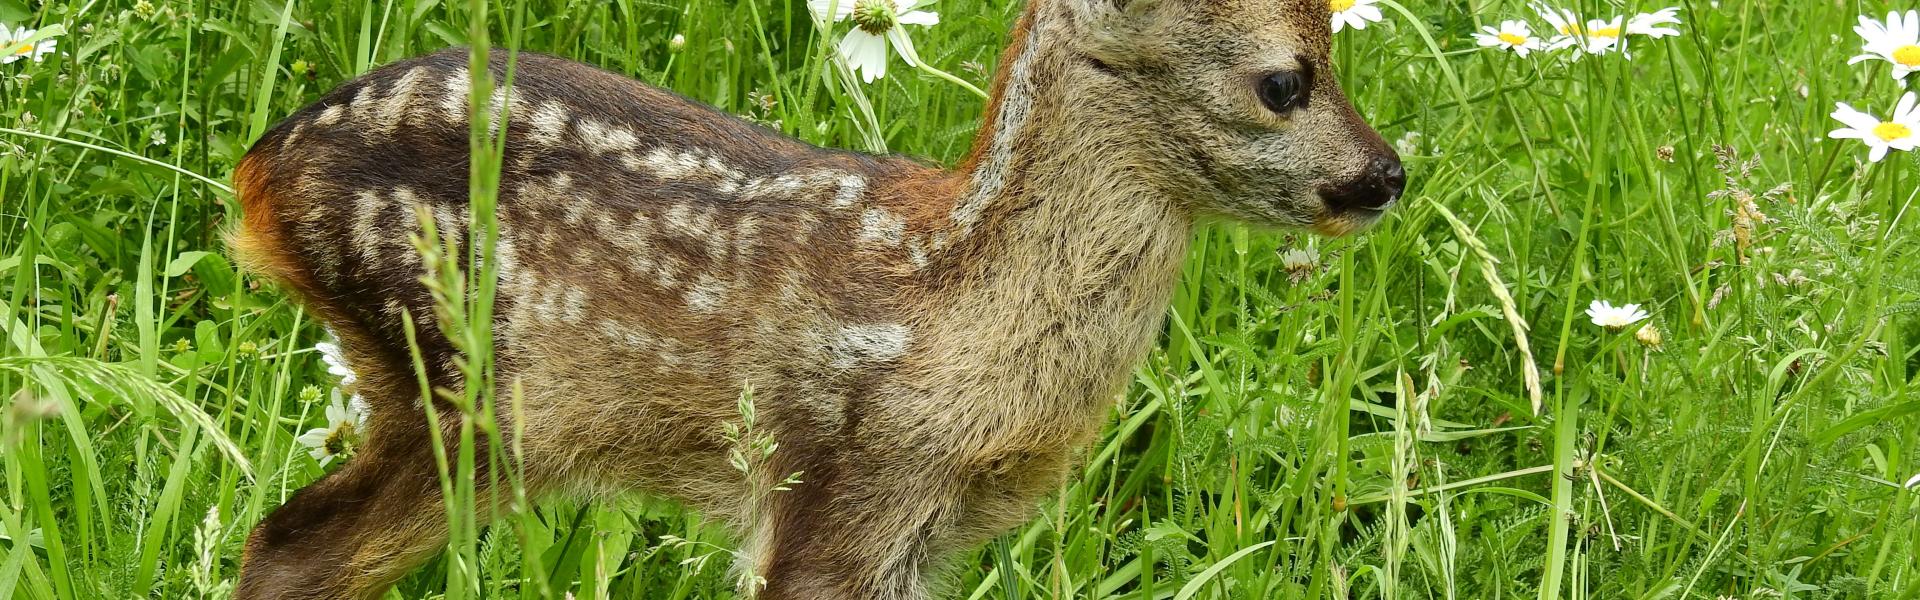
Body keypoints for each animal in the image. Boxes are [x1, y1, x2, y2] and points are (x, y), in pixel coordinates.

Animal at [228, 0, 1413, 596]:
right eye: (1284, 79)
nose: (1388, 173)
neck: (956, 303)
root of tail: (260, 173)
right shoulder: (846, 494)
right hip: (454, 386)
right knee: (289, 547)